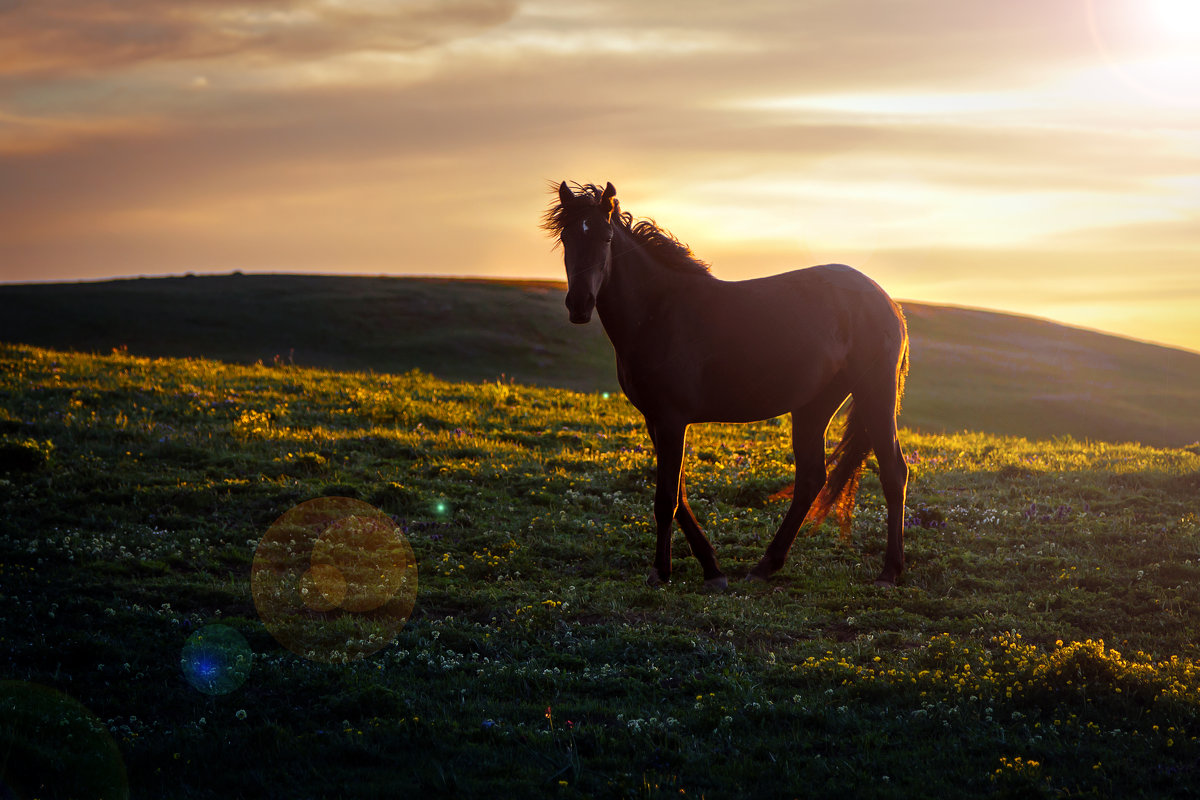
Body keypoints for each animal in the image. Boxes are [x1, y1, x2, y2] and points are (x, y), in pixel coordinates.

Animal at [544, 181, 907, 587]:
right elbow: (679, 495)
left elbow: (666, 498)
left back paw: (890, 570)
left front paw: (661, 570)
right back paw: (766, 565)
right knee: (812, 477)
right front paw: (712, 568)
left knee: (894, 473)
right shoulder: (656, 420)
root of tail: (887, 302)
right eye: (566, 236)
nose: (579, 304)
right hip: (813, 406)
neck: (659, 311)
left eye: (606, 237)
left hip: (875, 394)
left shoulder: (671, 421)